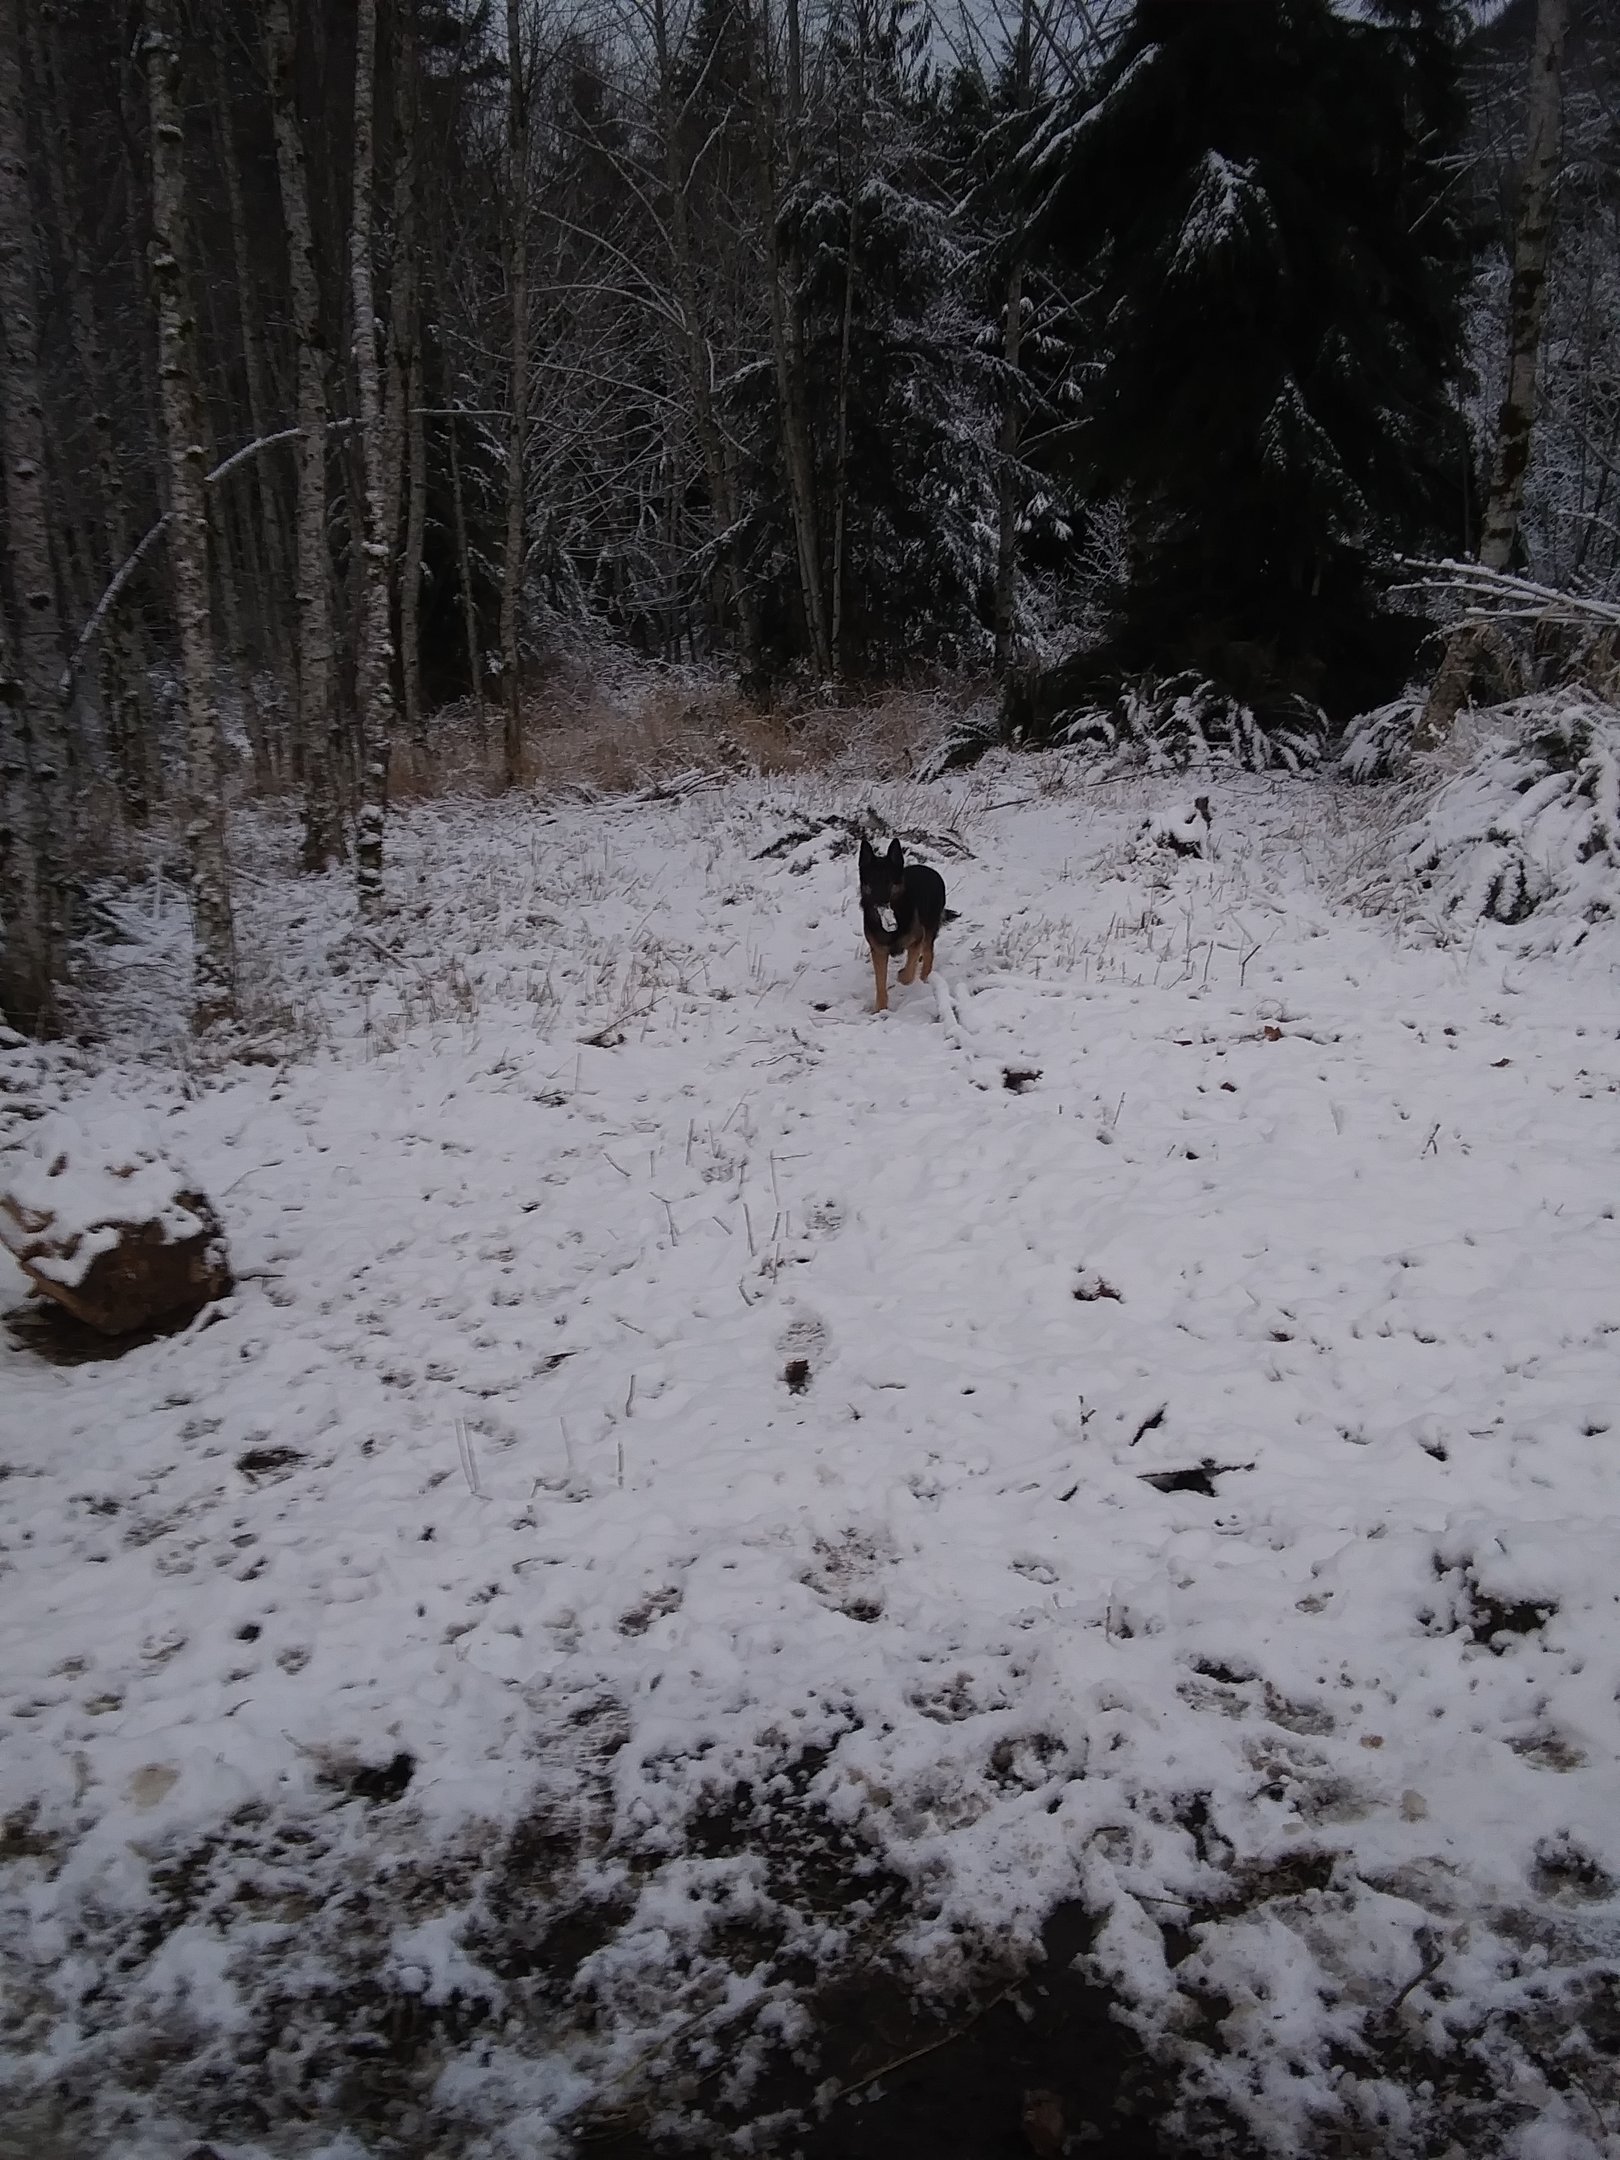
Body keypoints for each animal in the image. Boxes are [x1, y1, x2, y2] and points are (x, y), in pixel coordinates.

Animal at [855, 838, 946, 1015]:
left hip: (928, 929)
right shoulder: (879, 952)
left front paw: (903, 976)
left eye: (888, 881)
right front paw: (881, 1008)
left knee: (928, 954)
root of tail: (930, 870)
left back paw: (924, 979)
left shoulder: (916, 940)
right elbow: (880, 983)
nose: (880, 903)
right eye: (872, 881)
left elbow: (908, 973)